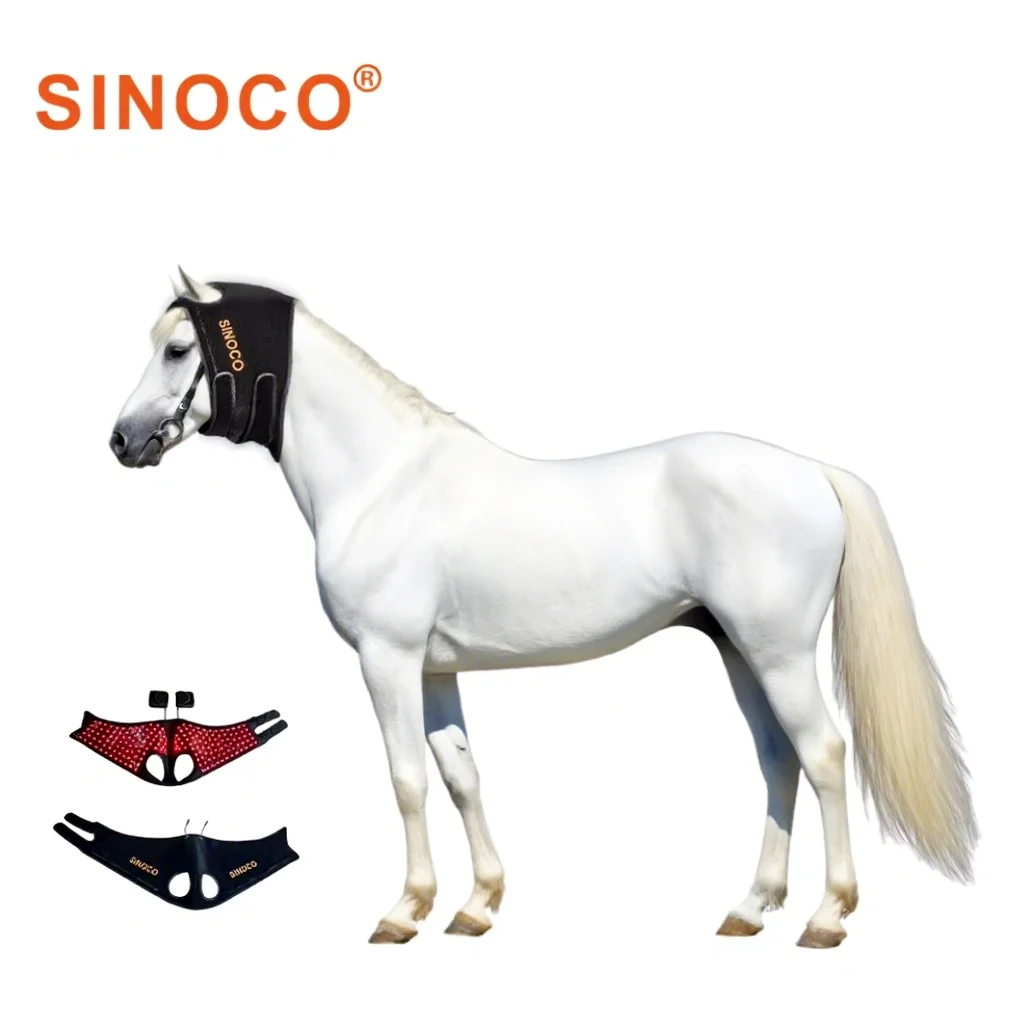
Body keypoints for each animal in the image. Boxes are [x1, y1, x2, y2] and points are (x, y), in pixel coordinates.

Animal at [109, 269, 977, 947]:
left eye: (178, 350)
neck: (382, 478)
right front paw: (477, 905)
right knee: (778, 757)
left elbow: (406, 780)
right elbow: (460, 774)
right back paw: (750, 908)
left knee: (823, 754)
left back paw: (827, 917)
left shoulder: (386, 658)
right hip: (739, 650)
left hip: (779, 652)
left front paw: (405, 910)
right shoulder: (433, 668)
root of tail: (812, 470)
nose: (122, 440)